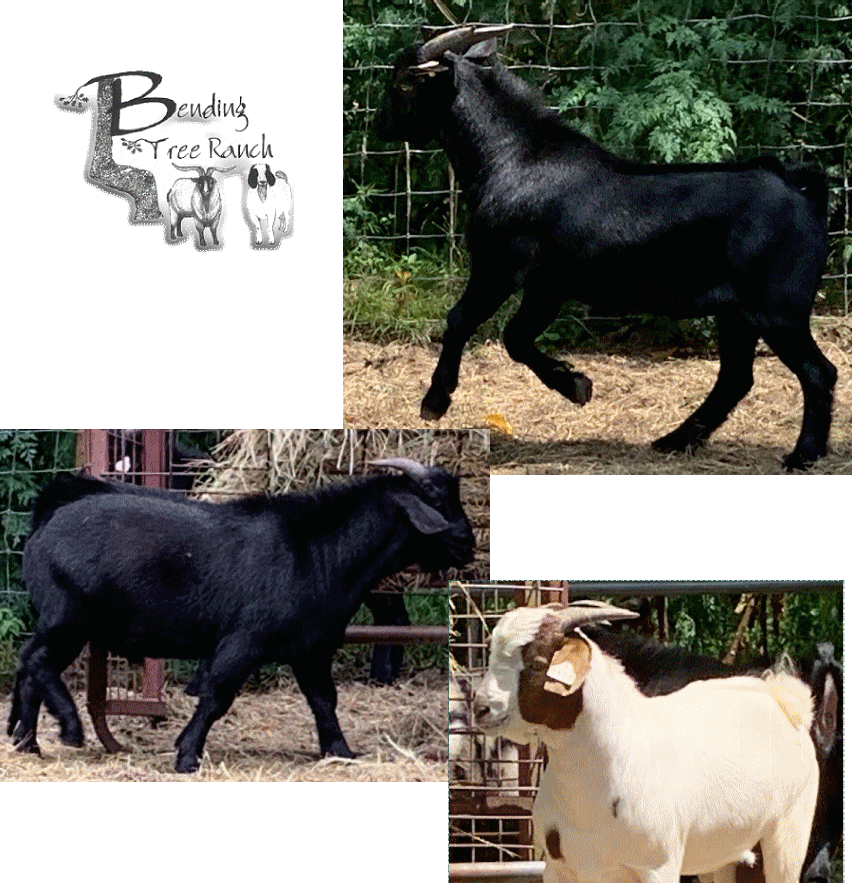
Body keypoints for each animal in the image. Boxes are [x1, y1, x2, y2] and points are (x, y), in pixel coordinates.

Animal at [8, 459, 474, 773]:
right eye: (436, 499)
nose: (468, 544)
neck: (318, 551)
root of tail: (47, 519)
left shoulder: (310, 649)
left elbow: (324, 700)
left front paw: (340, 751)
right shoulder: (244, 640)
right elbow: (217, 695)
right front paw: (187, 754)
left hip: (62, 621)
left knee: (29, 666)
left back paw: (27, 742)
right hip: (69, 618)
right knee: (36, 661)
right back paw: (68, 729)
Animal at [376, 25, 837, 470]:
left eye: (405, 83)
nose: (379, 124)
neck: (513, 157)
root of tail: (800, 191)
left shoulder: (504, 268)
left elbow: (469, 323)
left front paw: (435, 402)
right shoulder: (546, 286)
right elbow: (515, 337)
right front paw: (576, 384)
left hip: (777, 308)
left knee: (818, 372)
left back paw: (802, 455)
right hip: (737, 311)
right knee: (736, 377)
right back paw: (675, 440)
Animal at [473, 602, 820, 883]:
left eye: (536, 663)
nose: (481, 708)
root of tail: (785, 700)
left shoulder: (657, 866)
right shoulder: (560, 868)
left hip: (787, 836)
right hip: (721, 857)